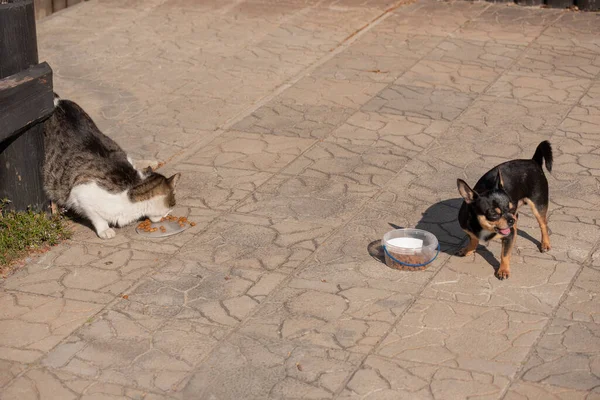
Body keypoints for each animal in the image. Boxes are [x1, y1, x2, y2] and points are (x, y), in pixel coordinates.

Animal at [43, 94, 179, 238]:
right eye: (172, 205)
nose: (170, 214)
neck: (132, 188)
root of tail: (56, 101)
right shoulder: (81, 194)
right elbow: (97, 217)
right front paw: (105, 230)